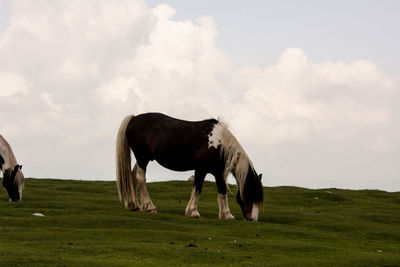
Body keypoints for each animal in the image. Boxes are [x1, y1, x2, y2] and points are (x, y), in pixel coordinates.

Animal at [115, 113, 262, 222]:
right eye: (252, 193)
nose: (252, 219)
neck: (219, 144)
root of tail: (133, 119)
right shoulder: (201, 170)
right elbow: (197, 189)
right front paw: (193, 212)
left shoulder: (218, 173)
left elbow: (222, 191)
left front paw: (226, 214)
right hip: (142, 158)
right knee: (140, 178)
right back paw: (149, 207)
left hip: (143, 159)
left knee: (133, 177)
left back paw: (134, 205)